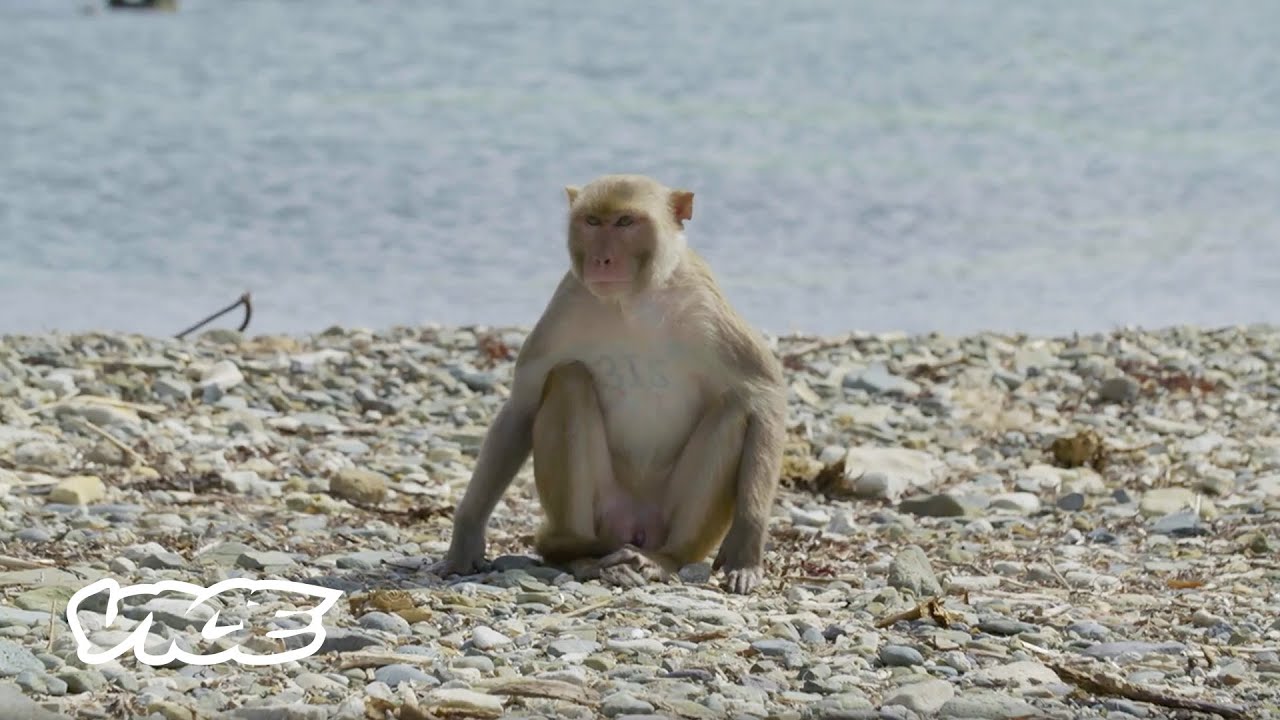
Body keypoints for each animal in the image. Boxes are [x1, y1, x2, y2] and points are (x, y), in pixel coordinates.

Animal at [428, 174, 787, 594]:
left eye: (625, 222)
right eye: (592, 222)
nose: (601, 259)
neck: (631, 302)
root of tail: (633, 527)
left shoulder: (707, 306)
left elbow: (763, 397)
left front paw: (746, 548)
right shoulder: (565, 305)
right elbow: (522, 407)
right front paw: (466, 538)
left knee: (734, 406)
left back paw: (662, 559)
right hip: (604, 512)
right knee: (569, 379)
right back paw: (581, 555)